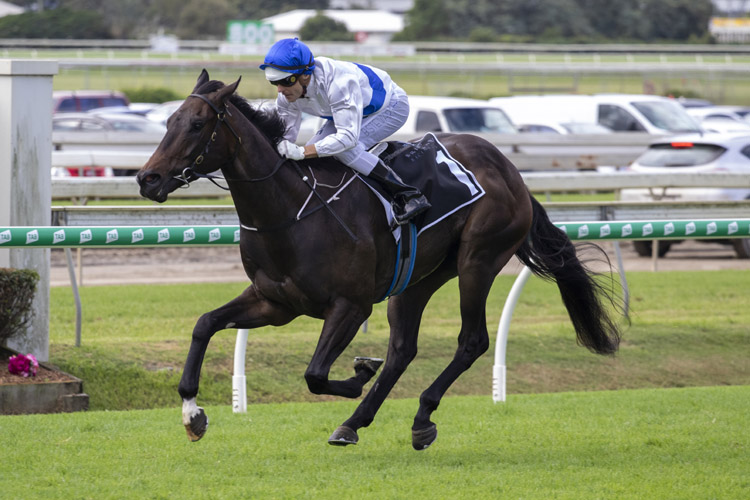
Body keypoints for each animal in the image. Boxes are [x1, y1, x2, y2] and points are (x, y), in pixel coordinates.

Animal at [135, 70, 624, 450]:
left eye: (197, 124)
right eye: (169, 120)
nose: (147, 178)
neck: (289, 210)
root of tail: (511, 170)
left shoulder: (350, 306)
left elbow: (315, 374)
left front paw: (355, 376)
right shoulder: (274, 303)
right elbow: (204, 324)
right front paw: (192, 415)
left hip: (479, 259)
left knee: (472, 341)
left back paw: (419, 416)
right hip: (418, 278)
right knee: (403, 349)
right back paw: (357, 424)